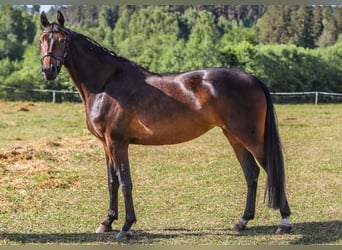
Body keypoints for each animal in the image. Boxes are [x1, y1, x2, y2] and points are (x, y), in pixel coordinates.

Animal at [39, 11, 292, 238]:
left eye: (62, 40)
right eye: (42, 39)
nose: (48, 70)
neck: (106, 85)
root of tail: (254, 79)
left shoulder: (118, 143)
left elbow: (125, 183)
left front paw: (126, 226)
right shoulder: (106, 144)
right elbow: (112, 182)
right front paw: (107, 222)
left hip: (251, 138)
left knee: (271, 170)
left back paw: (285, 222)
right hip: (234, 137)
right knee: (251, 173)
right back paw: (242, 222)